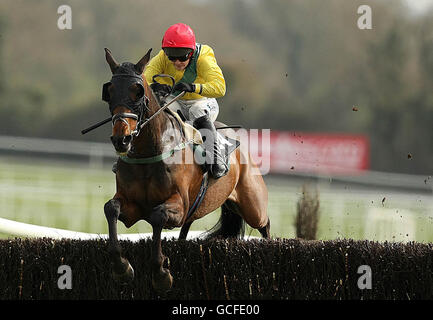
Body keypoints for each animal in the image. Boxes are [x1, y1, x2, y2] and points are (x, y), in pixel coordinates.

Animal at [101, 48, 270, 296]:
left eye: (137, 91)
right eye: (109, 91)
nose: (121, 139)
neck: (148, 152)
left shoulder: (179, 205)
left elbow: (158, 215)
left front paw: (161, 274)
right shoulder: (131, 206)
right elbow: (111, 208)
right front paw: (121, 268)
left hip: (252, 204)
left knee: (265, 225)